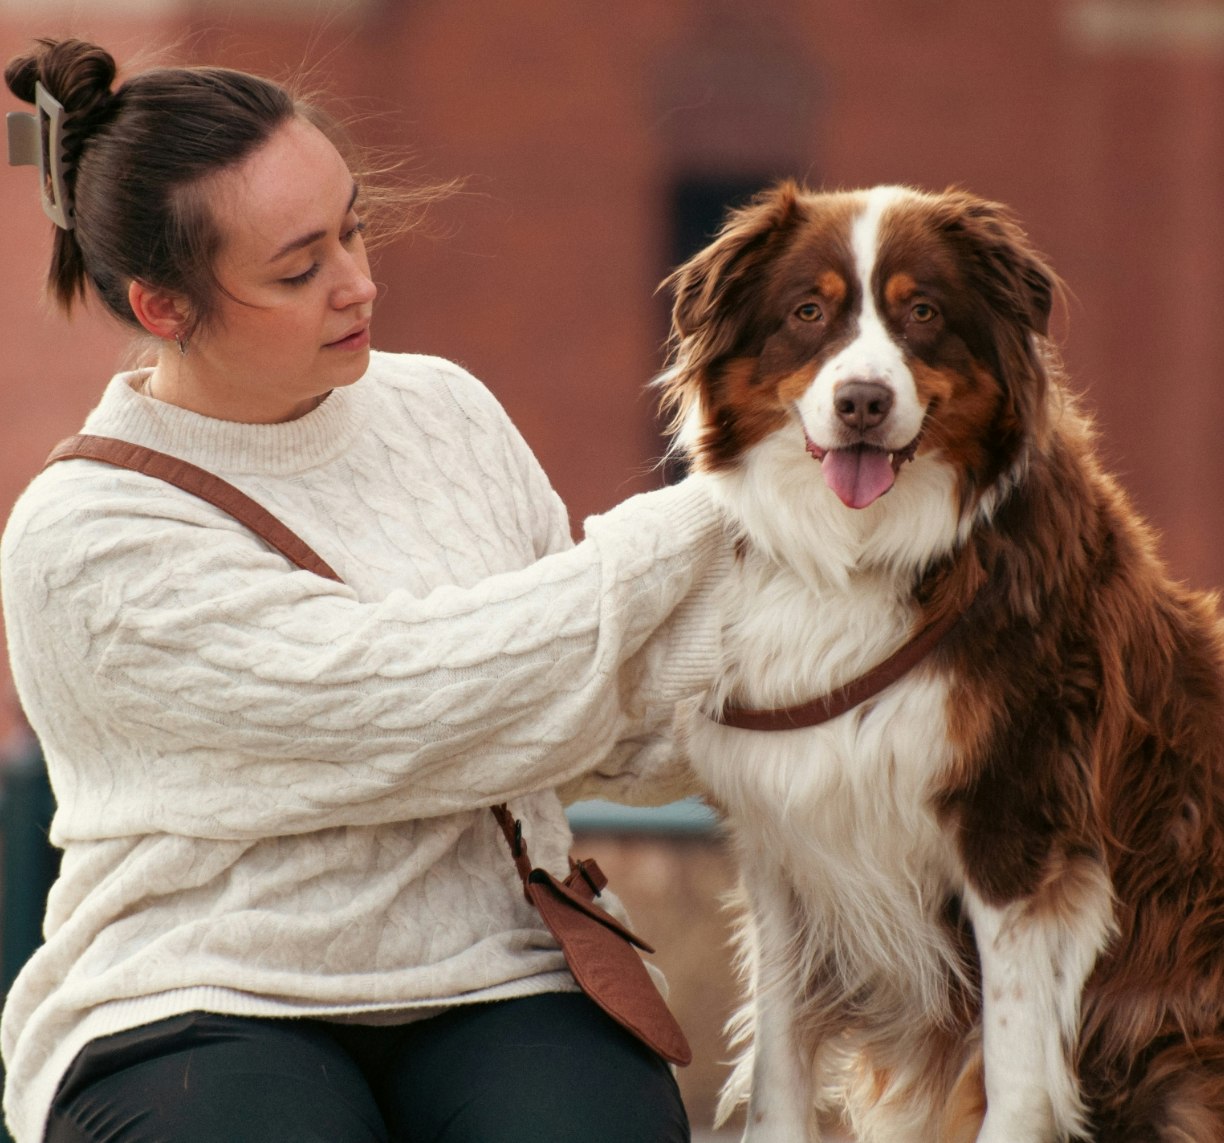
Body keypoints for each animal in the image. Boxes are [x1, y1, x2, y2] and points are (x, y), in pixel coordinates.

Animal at [660, 183, 1224, 1140]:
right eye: (808, 312)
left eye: (921, 312)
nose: (862, 401)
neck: (863, 555)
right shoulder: (787, 840)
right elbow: (779, 1063)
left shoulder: (1019, 830)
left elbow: (1014, 1072)